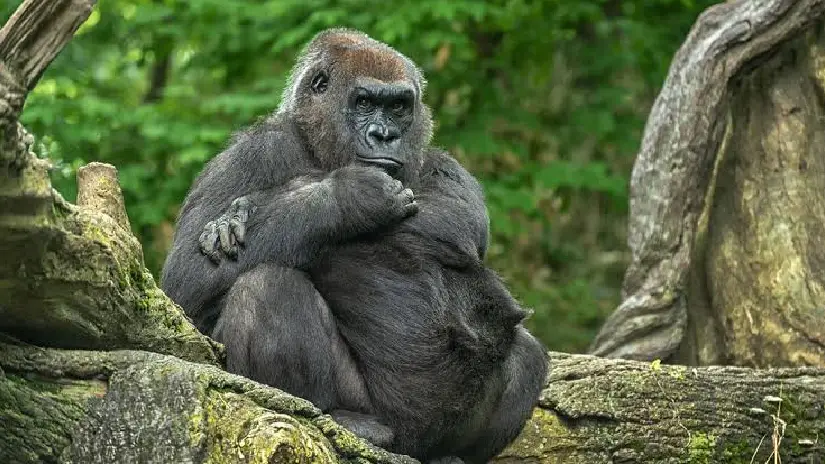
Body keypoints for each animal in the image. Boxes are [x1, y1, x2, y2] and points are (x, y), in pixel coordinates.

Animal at [161, 28, 547, 464]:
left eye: (398, 107)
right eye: (363, 103)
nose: (385, 135)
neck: (317, 145)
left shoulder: (442, 163)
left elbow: (458, 221)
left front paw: (251, 210)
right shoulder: (249, 154)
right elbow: (188, 282)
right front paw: (348, 196)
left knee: (527, 351)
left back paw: (451, 453)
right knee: (266, 287)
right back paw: (340, 416)